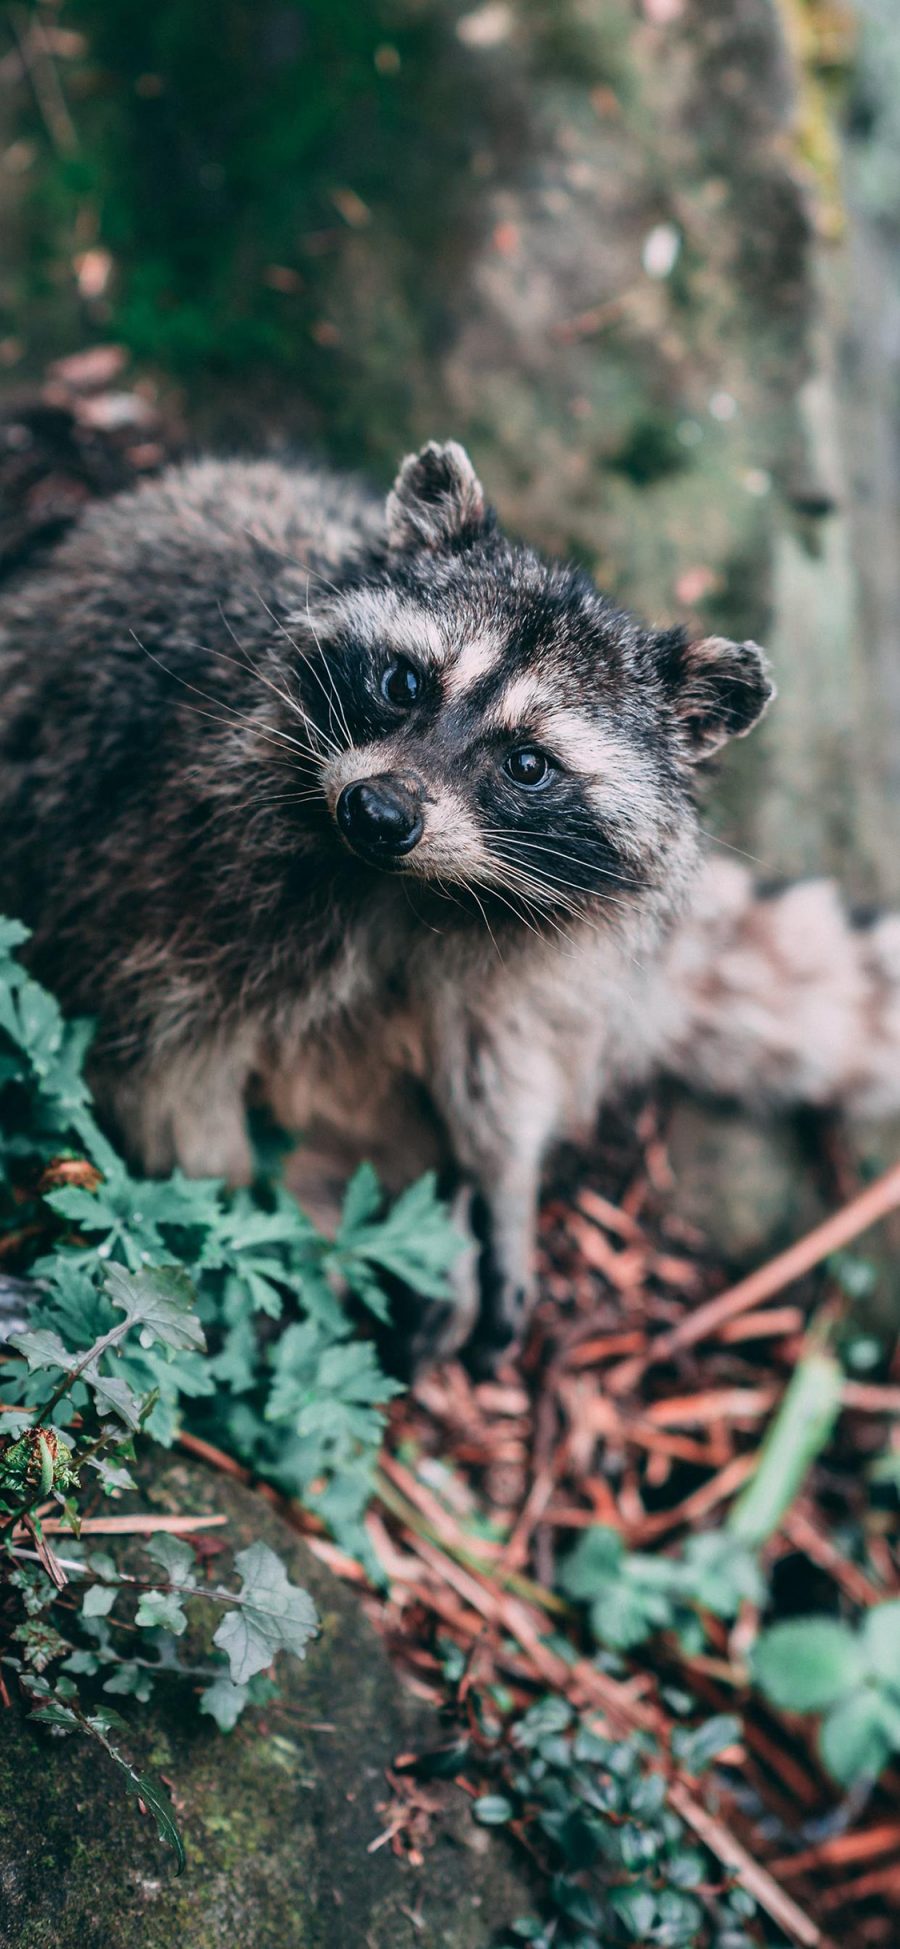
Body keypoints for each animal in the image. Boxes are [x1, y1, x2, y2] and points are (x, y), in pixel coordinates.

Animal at [1, 442, 900, 1364]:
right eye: (402, 683)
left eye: (529, 764)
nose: (377, 811)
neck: (409, 886)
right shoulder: (170, 866)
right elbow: (165, 1078)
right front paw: (263, 1221)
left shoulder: (541, 955)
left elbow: (506, 1063)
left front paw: (503, 1178)